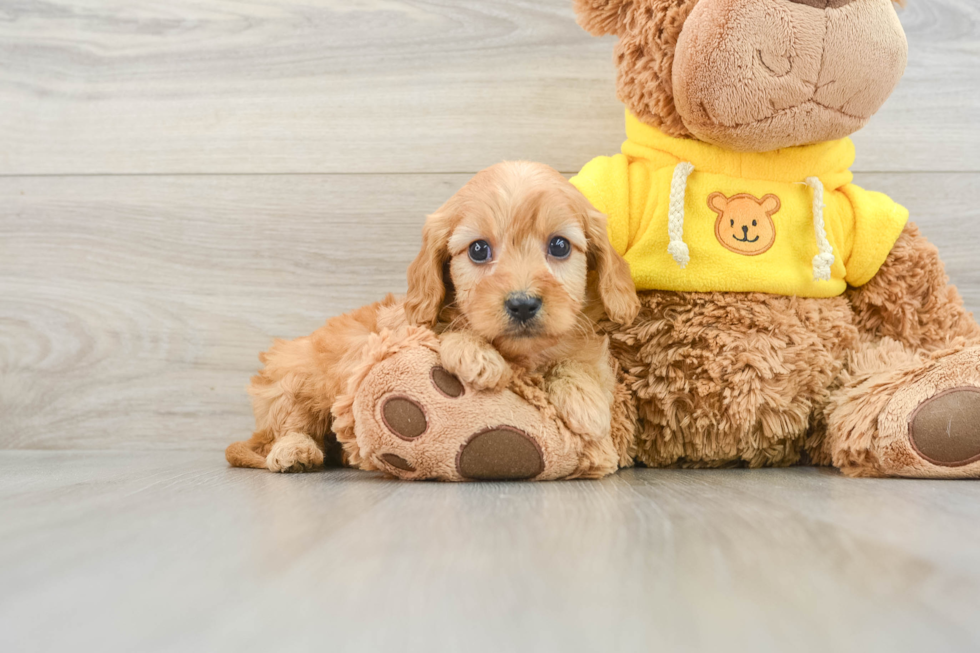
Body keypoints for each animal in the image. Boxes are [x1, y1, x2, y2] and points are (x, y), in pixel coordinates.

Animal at [228, 160, 644, 472]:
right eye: (478, 250)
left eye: (559, 246)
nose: (523, 304)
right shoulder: (401, 325)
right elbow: (444, 332)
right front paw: (476, 355)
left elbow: (583, 357)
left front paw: (585, 400)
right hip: (296, 379)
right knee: (291, 425)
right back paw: (294, 451)